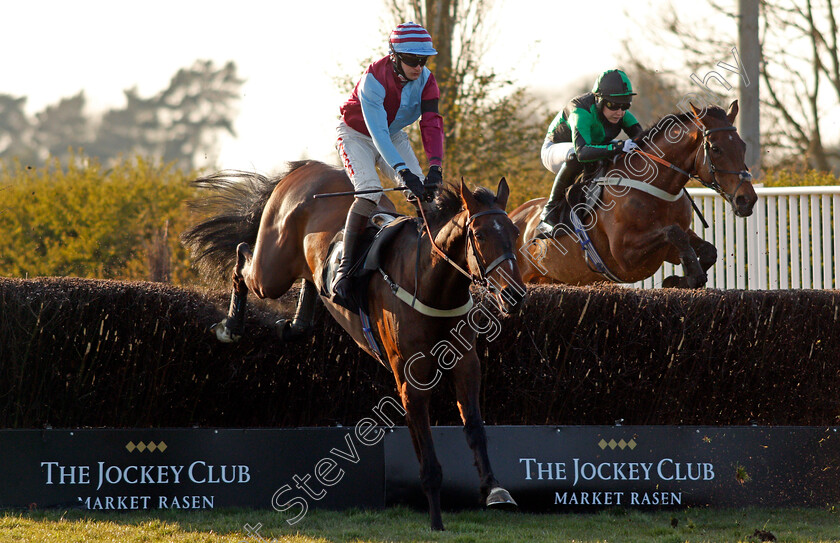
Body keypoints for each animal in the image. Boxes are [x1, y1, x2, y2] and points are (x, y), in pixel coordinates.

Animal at [182, 158, 524, 532]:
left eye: (515, 232)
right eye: (480, 235)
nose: (515, 295)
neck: (430, 283)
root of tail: (307, 167)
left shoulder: (466, 363)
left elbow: (474, 427)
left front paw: (495, 490)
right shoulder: (410, 375)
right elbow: (425, 446)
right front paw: (436, 519)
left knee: (308, 280)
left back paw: (295, 324)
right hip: (271, 271)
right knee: (244, 258)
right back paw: (230, 326)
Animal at [512, 102, 760, 288]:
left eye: (743, 146)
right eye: (715, 148)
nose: (747, 200)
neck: (656, 190)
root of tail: (515, 214)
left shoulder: (666, 249)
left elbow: (707, 249)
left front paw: (682, 279)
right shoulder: (624, 257)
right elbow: (673, 232)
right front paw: (689, 275)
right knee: (573, 156)